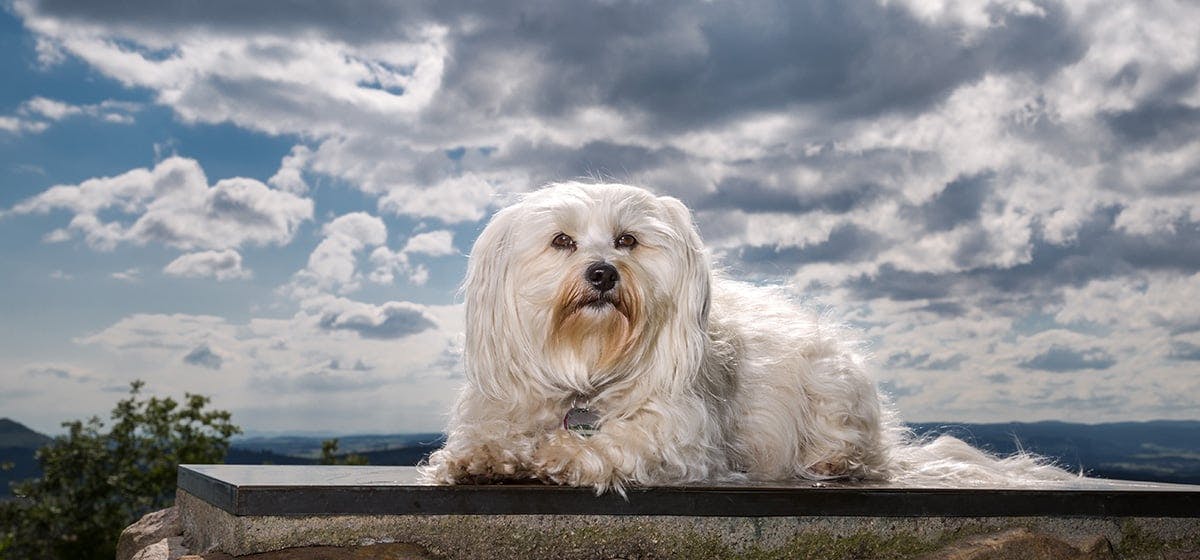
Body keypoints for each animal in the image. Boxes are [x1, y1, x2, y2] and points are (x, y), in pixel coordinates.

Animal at [420, 183, 1070, 491]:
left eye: (627, 240)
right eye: (561, 241)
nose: (603, 274)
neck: (587, 364)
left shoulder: (677, 439)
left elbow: (602, 446)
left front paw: (552, 454)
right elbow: (493, 439)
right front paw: (480, 460)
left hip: (833, 386)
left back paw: (833, 462)